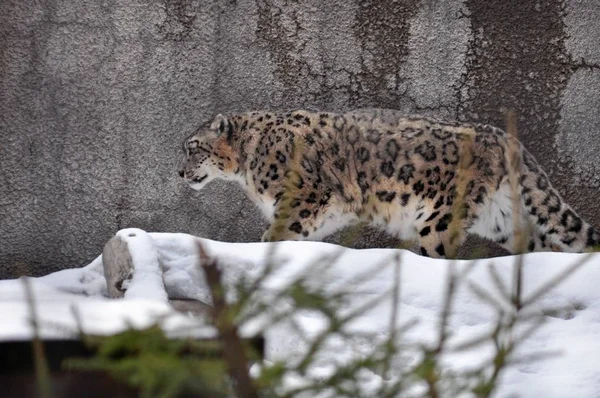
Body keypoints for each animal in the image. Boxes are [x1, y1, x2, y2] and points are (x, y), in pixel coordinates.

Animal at [179, 109, 600, 258]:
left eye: (192, 147)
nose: (179, 173)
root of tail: (503, 137)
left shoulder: (300, 199)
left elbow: (277, 233)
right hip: (500, 218)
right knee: (546, 242)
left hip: (439, 217)